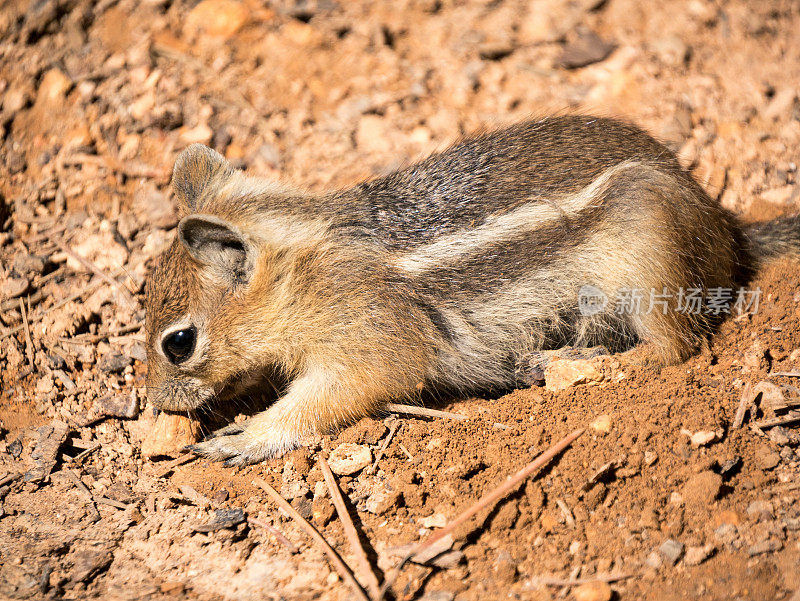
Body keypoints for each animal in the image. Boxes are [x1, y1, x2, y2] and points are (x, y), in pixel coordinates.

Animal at [145, 116, 800, 464]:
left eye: (178, 343)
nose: (155, 404)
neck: (298, 269)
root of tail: (728, 229)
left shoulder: (370, 339)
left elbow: (336, 395)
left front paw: (248, 435)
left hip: (651, 259)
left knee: (674, 347)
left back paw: (582, 363)